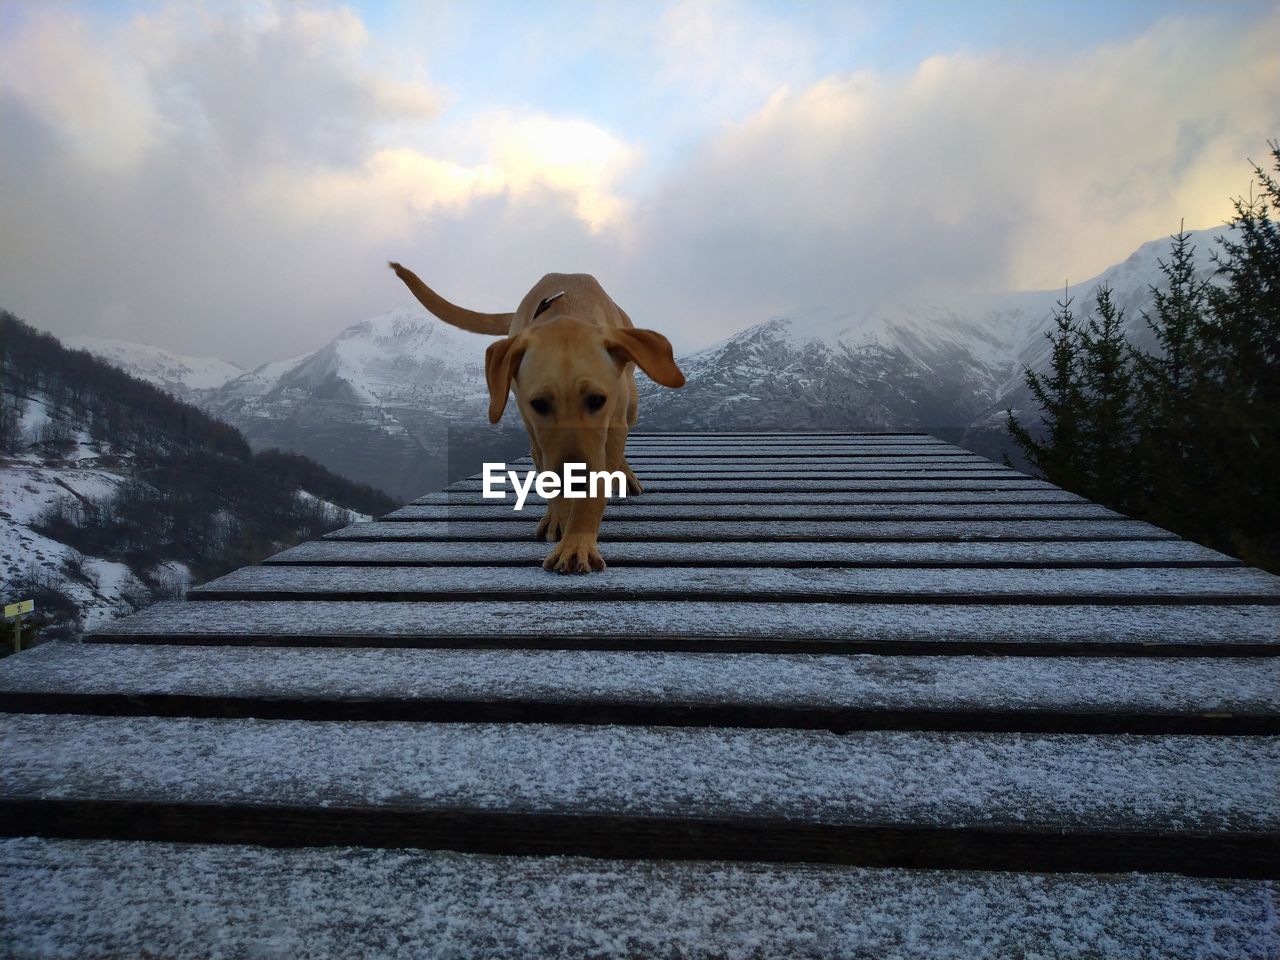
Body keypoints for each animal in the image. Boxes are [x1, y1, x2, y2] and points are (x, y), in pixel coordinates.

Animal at [389, 263, 686, 576]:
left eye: (596, 399)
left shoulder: (611, 428)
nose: (574, 477)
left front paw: (576, 544)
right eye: (539, 403)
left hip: (631, 402)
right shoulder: (537, 433)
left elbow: (595, 489)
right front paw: (559, 516)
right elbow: (550, 477)